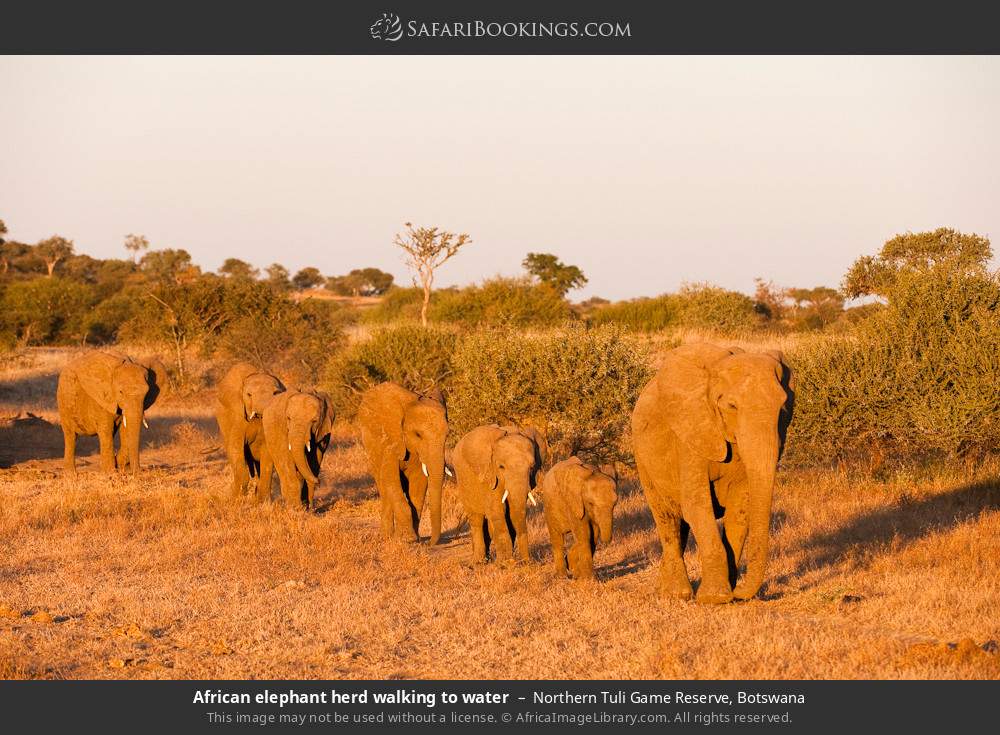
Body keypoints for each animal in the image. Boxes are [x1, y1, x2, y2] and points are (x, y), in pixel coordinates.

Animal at [214, 362, 286, 501]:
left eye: (275, 393)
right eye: (249, 395)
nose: (260, 413)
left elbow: (267, 453)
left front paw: (261, 502)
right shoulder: (237, 417)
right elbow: (236, 448)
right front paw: (237, 499)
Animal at [357, 382, 448, 544]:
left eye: (447, 435)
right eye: (418, 435)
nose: (430, 542)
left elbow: (419, 483)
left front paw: (413, 538)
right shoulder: (391, 439)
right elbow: (390, 478)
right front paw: (407, 539)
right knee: (383, 485)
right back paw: (387, 536)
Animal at [451, 424, 544, 564]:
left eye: (532, 467)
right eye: (501, 467)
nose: (527, 561)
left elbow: (512, 515)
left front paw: (516, 562)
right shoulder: (488, 476)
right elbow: (497, 511)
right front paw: (506, 563)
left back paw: (487, 559)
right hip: (463, 481)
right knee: (477, 519)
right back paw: (479, 562)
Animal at [632, 342, 794, 604]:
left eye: (783, 408)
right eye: (731, 406)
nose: (740, 592)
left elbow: (740, 508)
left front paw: (729, 594)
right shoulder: (691, 434)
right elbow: (697, 505)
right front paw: (715, 597)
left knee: (681, 525)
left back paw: (665, 590)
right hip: (642, 457)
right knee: (667, 518)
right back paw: (678, 594)